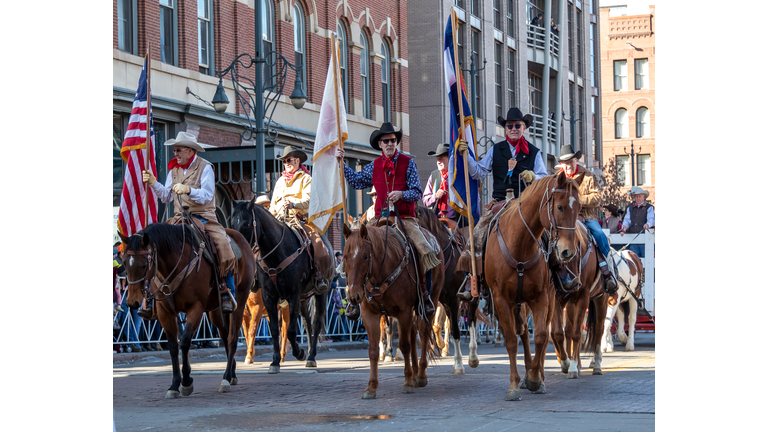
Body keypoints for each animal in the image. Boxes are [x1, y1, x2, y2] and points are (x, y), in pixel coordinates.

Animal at [118, 223, 254, 398]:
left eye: (143, 265)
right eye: (124, 264)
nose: (132, 302)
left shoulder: (196, 308)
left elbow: (184, 341)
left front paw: (187, 381)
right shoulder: (165, 312)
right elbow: (173, 346)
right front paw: (174, 385)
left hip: (240, 301)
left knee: (232, 338)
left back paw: (225, 378)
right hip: (216, 311)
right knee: (224, 336)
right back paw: (232, 373)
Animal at [231, 199, 332, 372]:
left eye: (246, 224)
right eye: (232, 222)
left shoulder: (292, 295)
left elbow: (290, 331)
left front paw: (299, 353)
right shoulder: (269, 297)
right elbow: (273, 330)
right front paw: (275, 362)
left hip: (321, 293)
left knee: (316, 322)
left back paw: (310, 357)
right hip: (304, 298)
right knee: (307, 322)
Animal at [342, 218, 444, 400]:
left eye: (365, 256)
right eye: (345, 257)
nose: (354, 296)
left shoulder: (403, 312)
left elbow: (404, 345)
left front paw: (408, 383)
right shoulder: (370, 314)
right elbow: (373, 350)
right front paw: (371, 387)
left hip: (431, 300)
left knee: (423, 333)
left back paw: (421, 375)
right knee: (413, 334)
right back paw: (415, 371)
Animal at [486, 170, 584, 400]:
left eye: (579, 208)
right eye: (560, 207)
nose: (567, 251)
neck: (520, 245)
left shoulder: (541, 298)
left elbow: (540, 336)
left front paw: (534, 378)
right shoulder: (501, 300)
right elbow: (511, 340)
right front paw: (514, 386)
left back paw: (538, 374)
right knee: (521, 332)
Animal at [548, 223, 616, 378]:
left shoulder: (583, 297)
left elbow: (576, 334)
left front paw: (572, 367)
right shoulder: (557, 298)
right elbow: (558, 333)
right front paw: (565, 362)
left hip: (601, 299)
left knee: (598, 329)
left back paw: (596, 365)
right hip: (571, 304)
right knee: (569, 330)